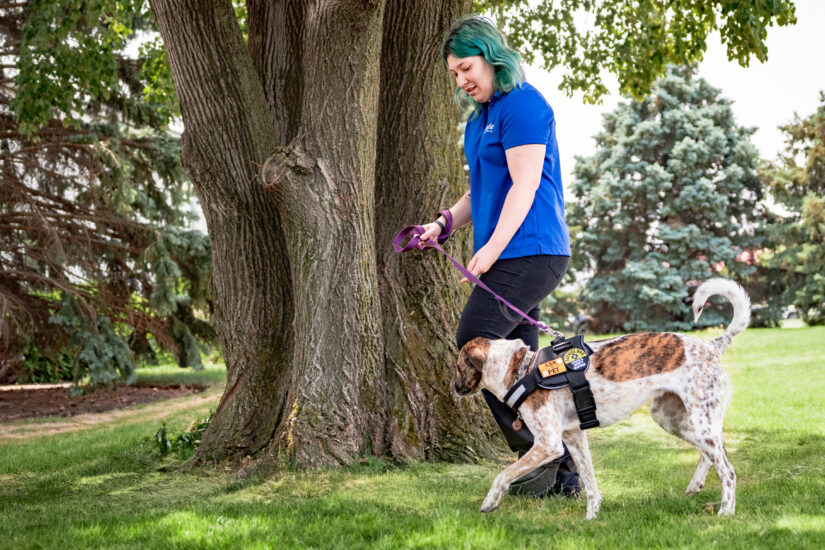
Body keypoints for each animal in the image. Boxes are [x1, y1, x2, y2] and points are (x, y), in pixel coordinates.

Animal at [454, 278, 748, 520]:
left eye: (458, 366)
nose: (454, 388)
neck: (523, 369)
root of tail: (712, 345)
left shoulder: (549, 444)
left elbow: (503, 474)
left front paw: (490, 503)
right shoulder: (574, 437)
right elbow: (590, 482)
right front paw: (591, 517)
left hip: (699, 422)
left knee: (728, 470)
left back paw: (726, 511)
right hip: (675, 420)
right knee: (712, 454)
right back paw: (695, 486)